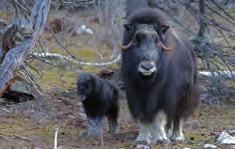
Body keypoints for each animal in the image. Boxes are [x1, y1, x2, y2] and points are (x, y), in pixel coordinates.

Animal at [120, 6, 199, 143]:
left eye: (156, 40)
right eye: (136, 40)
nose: (147, 67)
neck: (147, 82)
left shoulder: (165, 96)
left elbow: (159, 116)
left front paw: (160, 138)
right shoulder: (135, 95)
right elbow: (142, 117)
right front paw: (142, 139)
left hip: (183, 96)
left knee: (177, 116)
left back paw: (176, 136)